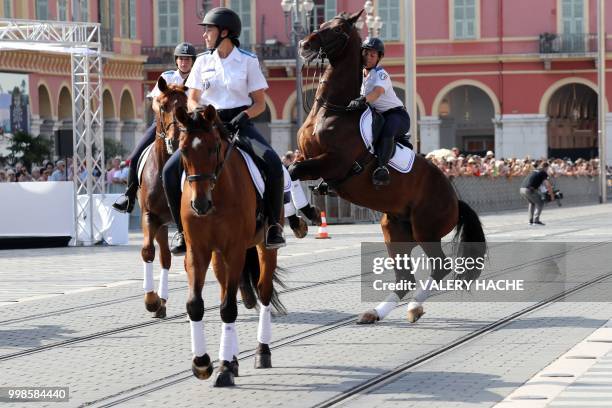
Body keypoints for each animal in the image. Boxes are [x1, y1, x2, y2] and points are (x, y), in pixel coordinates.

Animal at [175, 104, 284, 386]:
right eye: (183, 149)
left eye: (213, 148)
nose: (200, 204)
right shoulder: (198, 251)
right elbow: (195, 305)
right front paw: (202, 363)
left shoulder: (235, 250)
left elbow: (228, 309)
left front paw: (223, 369)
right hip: (217, 257)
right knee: (228, 289)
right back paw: (234, 360)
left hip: (264, 247)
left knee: (263, 291)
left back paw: (261, 352)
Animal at [290, 11, 486, 324]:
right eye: (321, 23)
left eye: (338, 30)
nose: (304, 45)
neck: (332, 109)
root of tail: (455, 200)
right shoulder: (305, 156)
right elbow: (289, 172)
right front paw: (298, 217)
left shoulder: (334, 162)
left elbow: (293, 172)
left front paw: (306, 214)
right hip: (394, 231)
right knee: (405, 278)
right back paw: (374, 312)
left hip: (426, 228)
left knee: (439, 267)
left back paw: (414, 308)